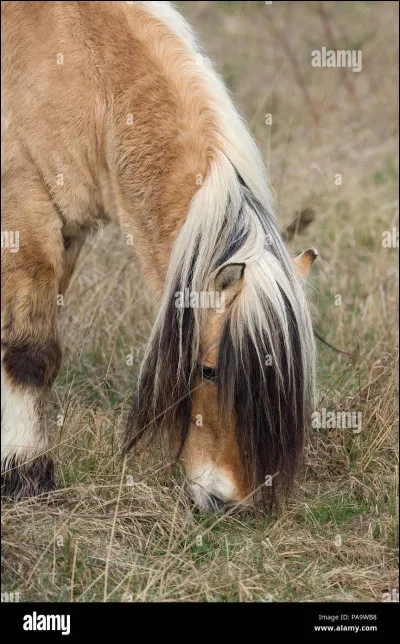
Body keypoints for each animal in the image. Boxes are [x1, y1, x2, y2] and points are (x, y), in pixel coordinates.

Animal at [1, 1, 317, 512]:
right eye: (208, 371)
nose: (229, 503)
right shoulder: (24, 217)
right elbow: (31, 353)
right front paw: (25, 474)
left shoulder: (68, 236)